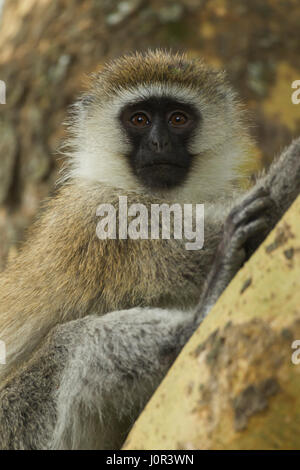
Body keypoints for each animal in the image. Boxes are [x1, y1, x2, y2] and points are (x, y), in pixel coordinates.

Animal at [0, 49, 300, 450]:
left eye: (178, 119)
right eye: (139, 119)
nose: (159, 144)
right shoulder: (107, 218)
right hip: (16, 423)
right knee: (73, 344)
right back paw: (196, 320)